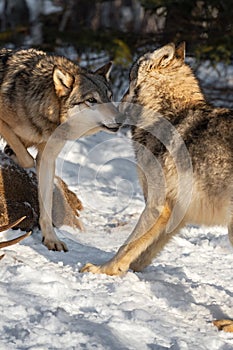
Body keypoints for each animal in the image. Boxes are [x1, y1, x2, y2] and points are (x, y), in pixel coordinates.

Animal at [0, 48, 121, 252]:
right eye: (91, 100)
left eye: (109, 97)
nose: (121, 119)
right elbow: (24, 154)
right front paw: (15, 154)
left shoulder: (47, 159)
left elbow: (46, 204)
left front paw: (51, 239)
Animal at [81, 41, 233, 276]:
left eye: (129, 79)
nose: (117, 109)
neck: (166, 113)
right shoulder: (175, 212)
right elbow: (144, 252)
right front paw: (127, 270)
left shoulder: (157, 205)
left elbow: (126, 245)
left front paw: (103, 269)